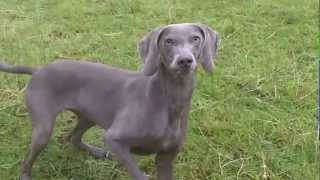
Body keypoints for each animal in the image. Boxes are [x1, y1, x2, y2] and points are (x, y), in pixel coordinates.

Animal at [0, 23, 220, 179]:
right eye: (169, 41)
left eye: (195, 39)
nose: (185, 61)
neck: (171, 100)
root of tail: (38, 70)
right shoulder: (115, 139)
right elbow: (139, 174)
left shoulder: (166, 158)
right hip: (43, 130)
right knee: (27, 162)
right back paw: (26, 175)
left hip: (89, 116)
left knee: (73, 137)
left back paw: (95, 152)